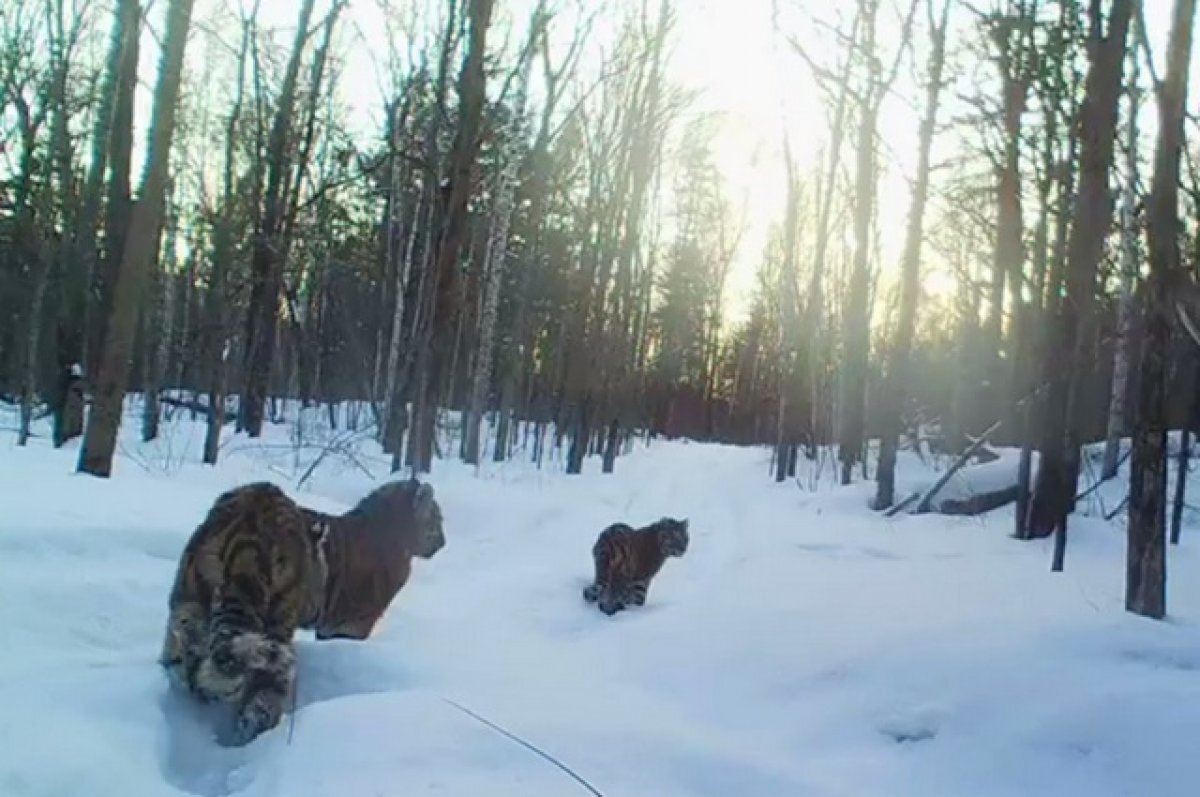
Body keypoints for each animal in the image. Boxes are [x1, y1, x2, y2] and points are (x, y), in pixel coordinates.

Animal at [157, 475, 444, 744]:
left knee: (184, 652)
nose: (443, 542)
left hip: (187, 598)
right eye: (438, 518)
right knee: (261, 699)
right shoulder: (356, 623)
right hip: (277, 631)